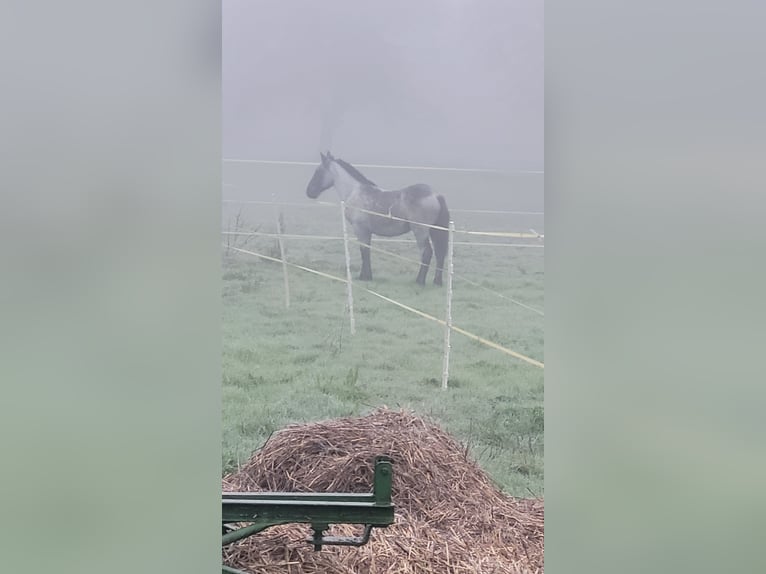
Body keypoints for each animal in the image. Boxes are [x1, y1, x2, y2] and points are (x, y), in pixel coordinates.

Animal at [306, 153, 450, 288]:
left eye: (318, 171)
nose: (309, 192)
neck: (355, 192)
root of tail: (435, 194)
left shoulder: (360, 229)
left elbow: (364, 251)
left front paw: (363, 277)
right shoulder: (367, 231)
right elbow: (367, 251)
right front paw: (368, 276)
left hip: (420, 231)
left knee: (426, 253)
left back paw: (419, 281)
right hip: (433, 231)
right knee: (439, 254)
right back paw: (437, 282)